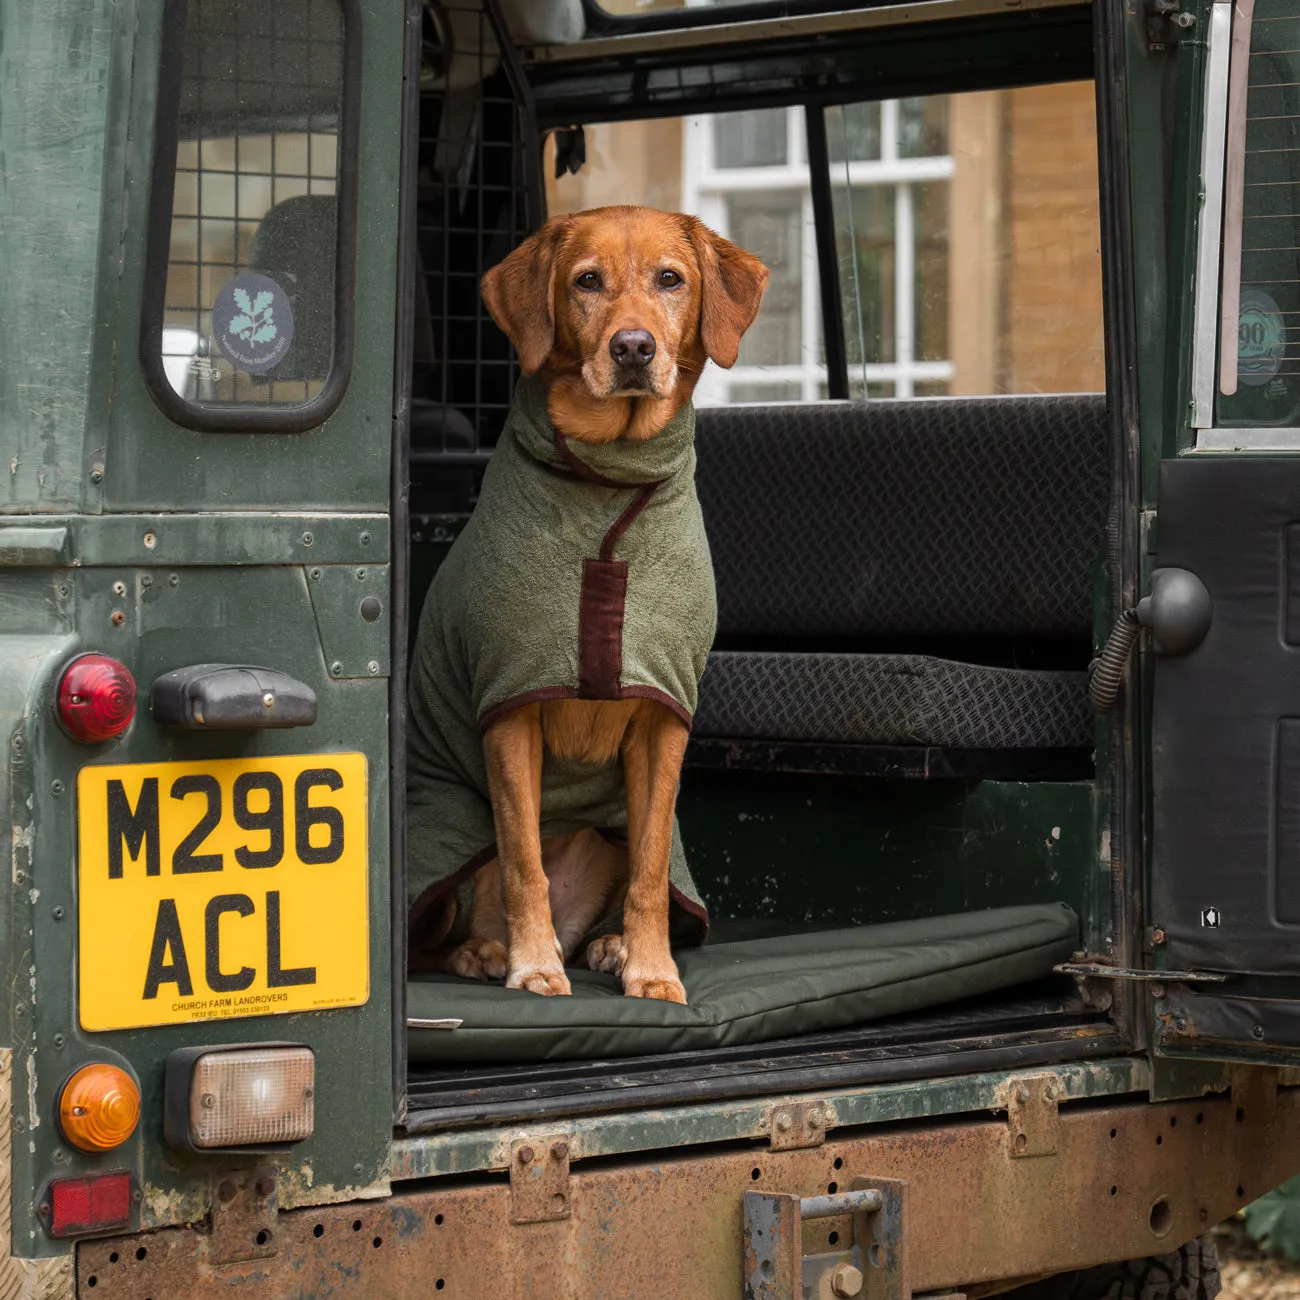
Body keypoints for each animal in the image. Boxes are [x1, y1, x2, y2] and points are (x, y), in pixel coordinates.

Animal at [405, 205, 764, 1003]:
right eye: (587, 282)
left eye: (671, 279)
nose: (633, 348)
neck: (609, 476)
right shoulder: (510, 708)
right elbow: (522, 859)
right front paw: (532, 963)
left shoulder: (664, 716)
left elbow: (652, 867)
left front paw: (652, 968)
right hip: (446, 839)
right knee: (431, 935)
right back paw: (489, 952)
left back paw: (607, 945)